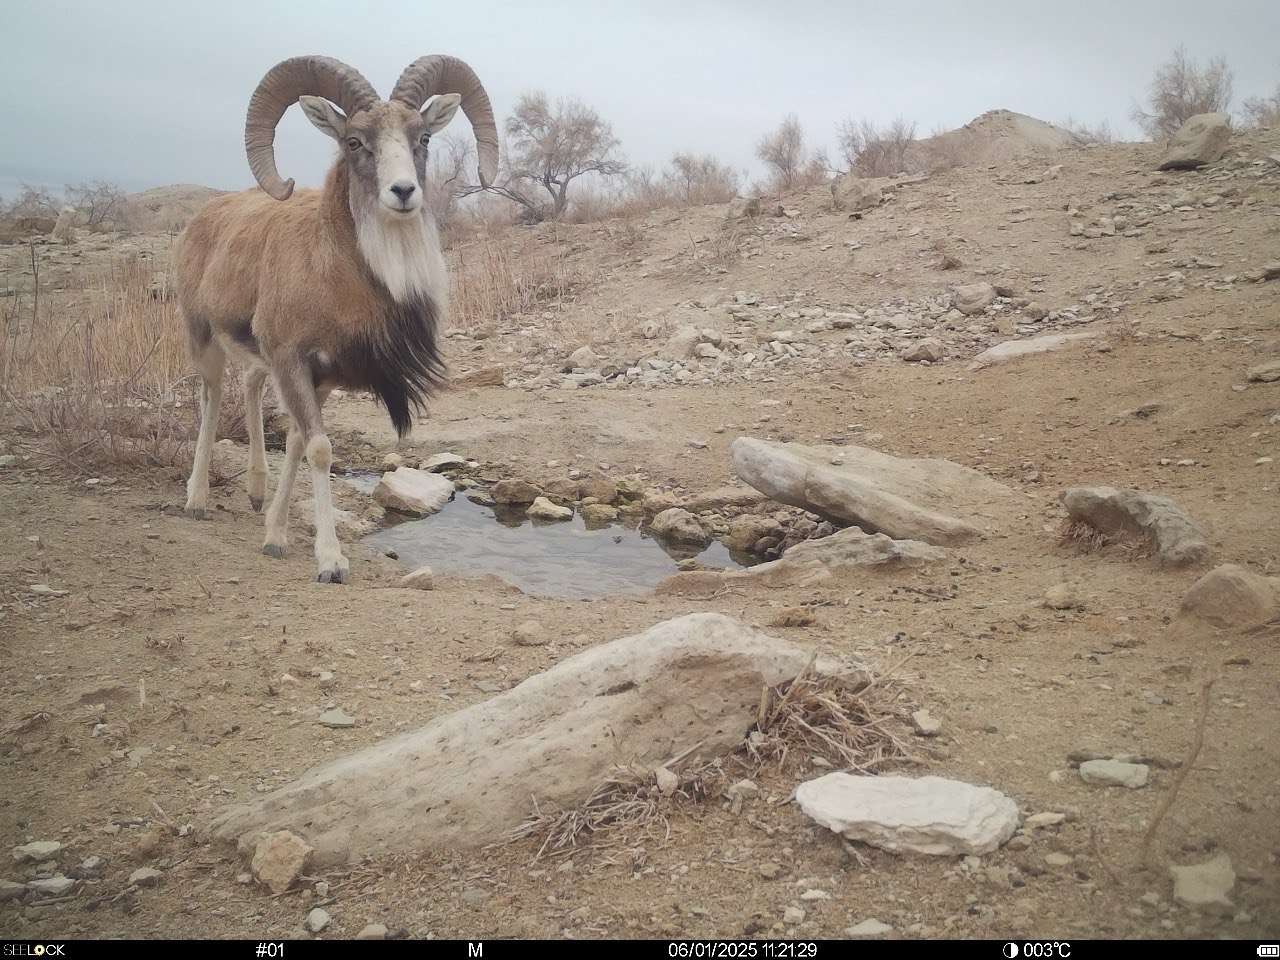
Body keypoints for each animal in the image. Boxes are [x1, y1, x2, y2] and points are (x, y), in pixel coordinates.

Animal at [174, 55, 498, 582]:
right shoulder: (293, 363)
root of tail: (199, 222)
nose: (403, 191)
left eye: (422, 138)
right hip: (202, 339)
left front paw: (276, 537)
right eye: (354, 142)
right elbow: (321, 449)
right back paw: (196, 501)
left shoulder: (317, 377)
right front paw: (330, 561)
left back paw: (256, 493)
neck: (334, 273)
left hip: (257, 360)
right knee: (211, 398)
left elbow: (297, 443)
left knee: (248, 387)